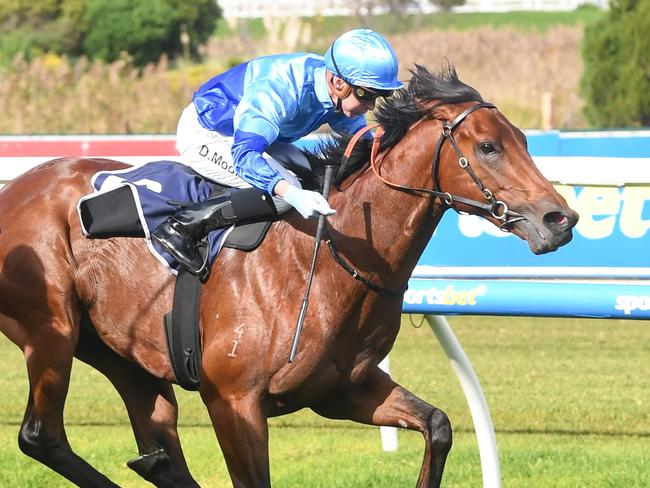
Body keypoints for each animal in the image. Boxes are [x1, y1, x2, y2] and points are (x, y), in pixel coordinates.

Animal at [0, 65, 576, 488]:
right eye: (487, 147)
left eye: (524, 140)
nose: (560, 219)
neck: (327, 258)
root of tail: (16, 188)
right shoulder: (233, 402)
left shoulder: (345, 389)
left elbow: (437, 425)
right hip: (52, 330)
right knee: (41, 435)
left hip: (120, 354)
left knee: (157, 440)